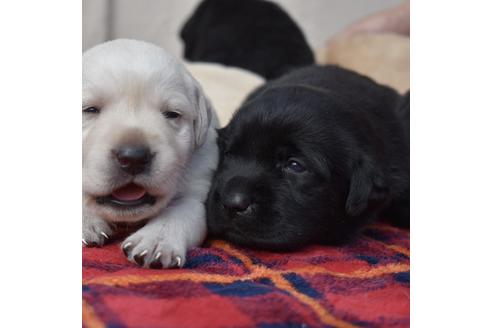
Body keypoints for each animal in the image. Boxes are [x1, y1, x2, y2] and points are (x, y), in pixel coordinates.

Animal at [83, 39, 218, 270]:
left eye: (172, 114)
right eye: (90, 110)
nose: (133, 158)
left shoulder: (199, 185)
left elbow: (181, 210)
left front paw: (156, 240)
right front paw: (87, 221)